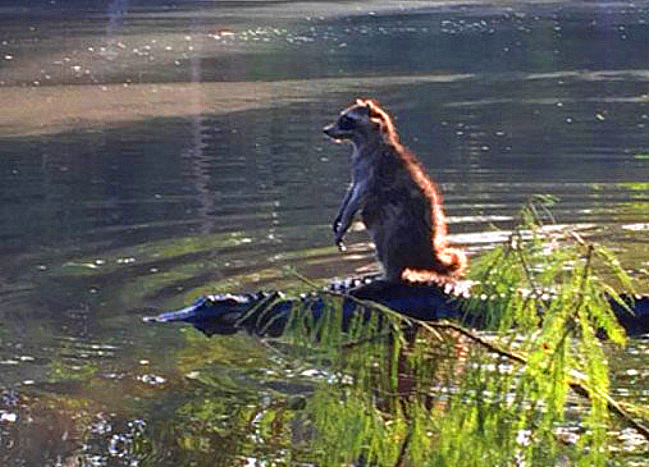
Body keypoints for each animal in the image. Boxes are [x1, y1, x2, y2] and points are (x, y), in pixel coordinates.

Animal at [323, 99, 466, 283]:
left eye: (346, 119)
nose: (326, 130)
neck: (363, 142)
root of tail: (427, 254)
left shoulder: (374, 167)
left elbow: (359, 195)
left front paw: (345, 222)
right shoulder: (358, 166)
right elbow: (352, 189)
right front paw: (340, 215)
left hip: (403, 227)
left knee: (388, 235)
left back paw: (388, 274)